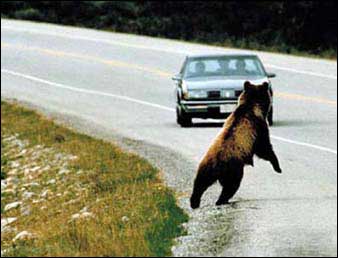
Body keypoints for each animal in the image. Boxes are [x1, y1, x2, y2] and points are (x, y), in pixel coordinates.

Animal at [190, 80, 282, 210]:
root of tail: (217, 164)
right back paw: (222, 200)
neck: (251, 106)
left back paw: (194, 201)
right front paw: (277, 167)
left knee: (200, 182)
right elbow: (264, 148)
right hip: (234, 168)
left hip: (206, 166)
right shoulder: (258, 128)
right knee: (231, 185)